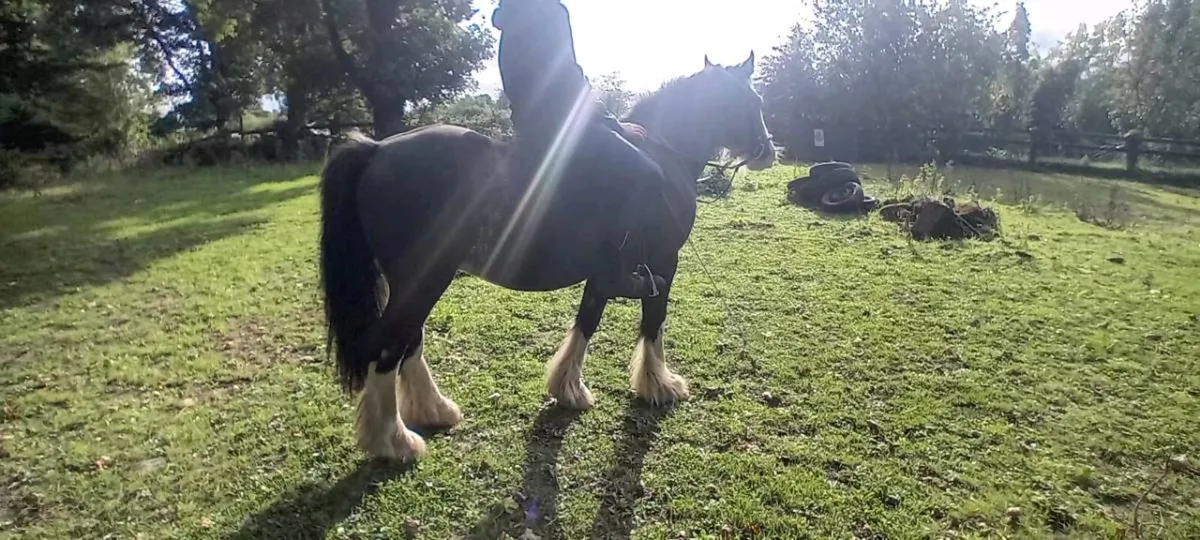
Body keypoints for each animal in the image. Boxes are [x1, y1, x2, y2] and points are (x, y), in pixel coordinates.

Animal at [318, 53, 776, 461]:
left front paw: (568, 389)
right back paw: (394, 443)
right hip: (425, 279)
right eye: (753, 101)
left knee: (409, 341)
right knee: (389, 348)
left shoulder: (605, 273)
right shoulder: (664, 263)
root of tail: (377, 149)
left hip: (415, 282)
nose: (770, 151)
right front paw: (659, 385)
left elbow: (587, 320)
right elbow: (653, 322)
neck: (666, 152)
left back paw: (434, 411)